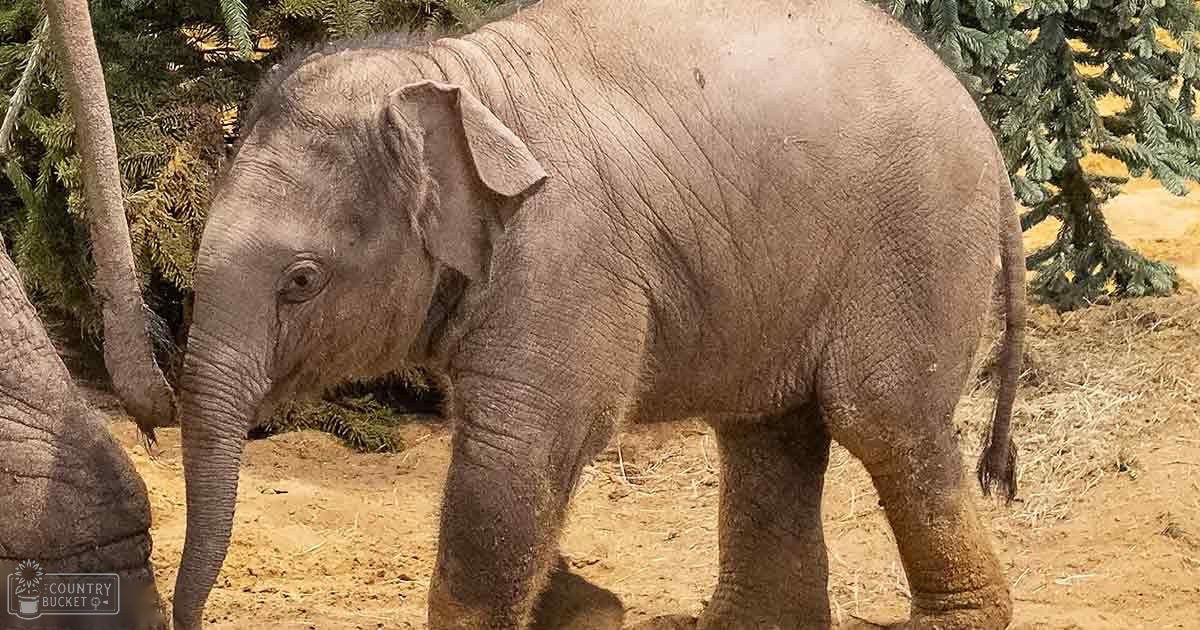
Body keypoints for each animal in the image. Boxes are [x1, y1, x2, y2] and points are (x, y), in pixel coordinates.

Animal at [171, 0, 1026, 628]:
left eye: (301, 280)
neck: (451, 74)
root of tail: (988, 137)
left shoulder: (565, 250)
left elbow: (520, 448)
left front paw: (579, 603)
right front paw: (586, 606)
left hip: (916, 245)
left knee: (883, 420)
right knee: (768, 434)